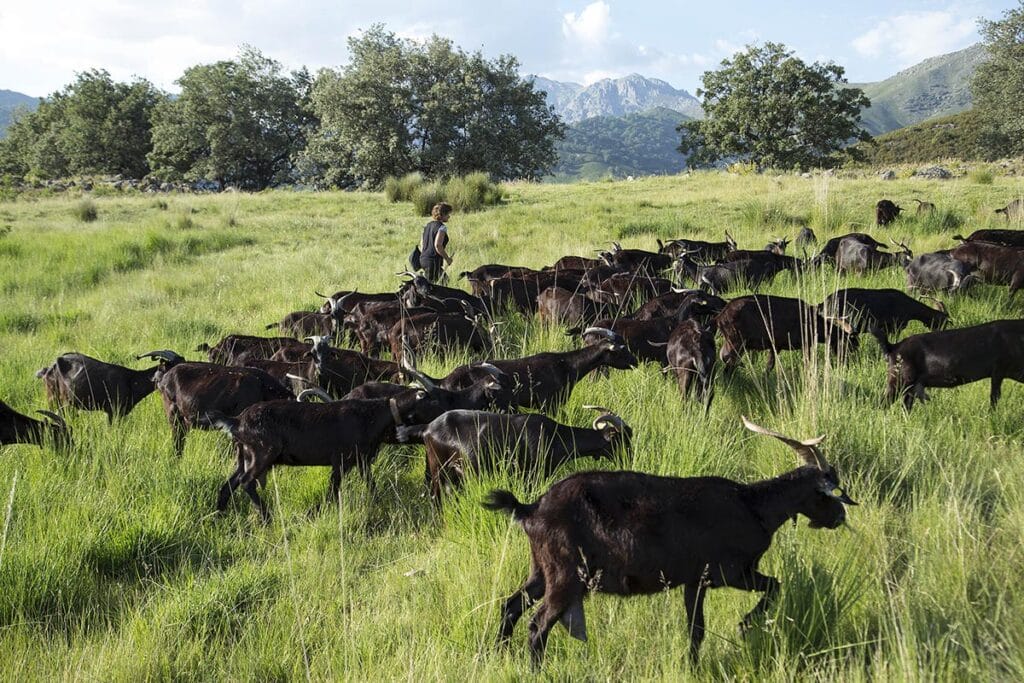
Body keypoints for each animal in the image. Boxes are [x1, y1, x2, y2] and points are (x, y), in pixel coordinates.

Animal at [401, 405, 630, 501]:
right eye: (621, 440)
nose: (629, 460)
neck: (555, 436)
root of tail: (427, 428)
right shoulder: (530, 476)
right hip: (440, 471)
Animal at [483, 417, 851, 667]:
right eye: (827, 491)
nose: (840, 516)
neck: (754, 505)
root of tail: (532, 508)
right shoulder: (730, 573)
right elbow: (773, 587)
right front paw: (745, 626)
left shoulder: (694, 581)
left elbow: (696, 629)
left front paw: (694, 664)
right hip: (566, 576)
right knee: (537, 625)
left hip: (541, 571)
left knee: (510, 606)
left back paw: (499, 655)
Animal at [868, 321, 1024, 411]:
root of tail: (893, 347)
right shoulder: (999, 370)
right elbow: (994, 397)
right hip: (899, 381)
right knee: (882, 404)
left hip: (910, 387)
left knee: (905, 406)